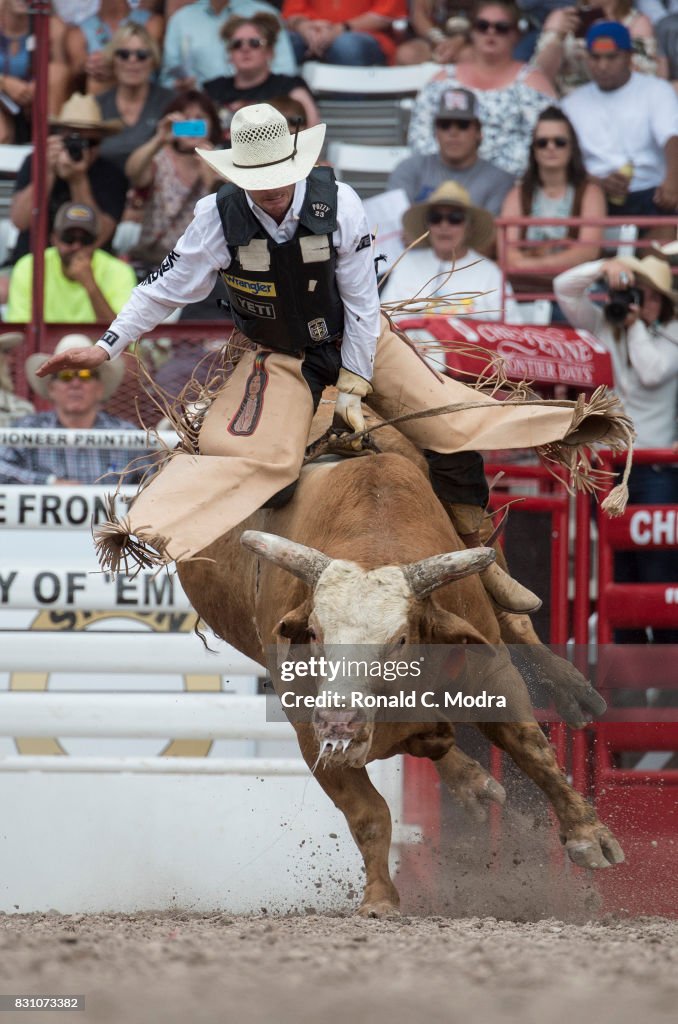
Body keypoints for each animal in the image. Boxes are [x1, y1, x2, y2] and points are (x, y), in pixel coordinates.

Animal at [178, 436, 622, 917]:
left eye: (400, 639)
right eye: (314, 633)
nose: (340, 722)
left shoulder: (493, 675)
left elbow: (532, 748)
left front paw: (589, 836)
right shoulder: (307, 722)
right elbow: (368, 812)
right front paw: (379, 898)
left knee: (518, 620)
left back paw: (573, 690)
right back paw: (470, 780)